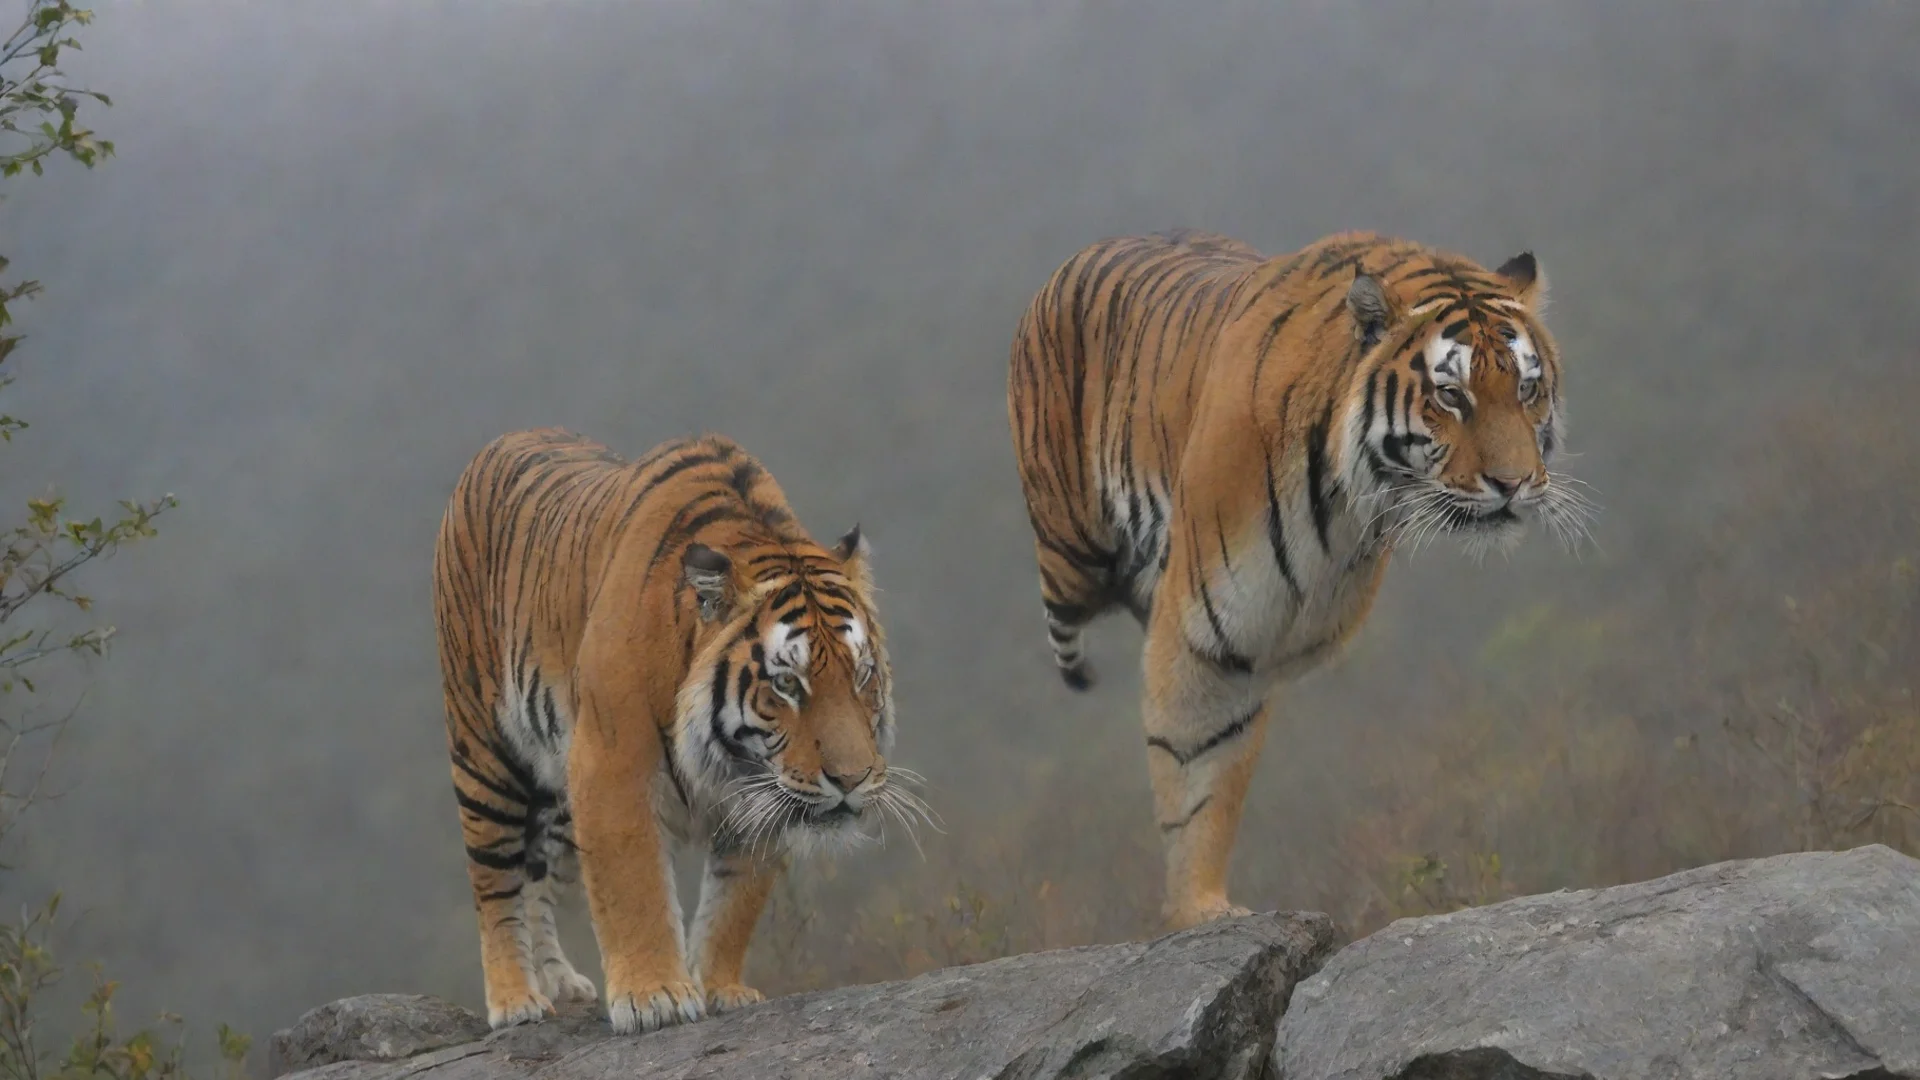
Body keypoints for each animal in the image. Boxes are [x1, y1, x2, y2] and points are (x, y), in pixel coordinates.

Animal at [432, 427, 916, 1034]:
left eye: (862, 676)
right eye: (787, 683)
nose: (850, 781)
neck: (732, 756)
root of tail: (505, 438)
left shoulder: (759, 795)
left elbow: (734, 902)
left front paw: (720, 988)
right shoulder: (610, 765)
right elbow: (634, 885)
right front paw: (654, 997)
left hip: (558, 791)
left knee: (537, 876)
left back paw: (560, 984)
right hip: (486, 753)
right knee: (496, 881)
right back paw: (516, 999)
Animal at [1006, 229, 1589, 931]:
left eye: (1528, 389)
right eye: (1451, 395)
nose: (1514, 483)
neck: (1350, 494)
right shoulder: (1207, 634)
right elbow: (1195, 773)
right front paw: (1198, 911)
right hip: (1072, 556)